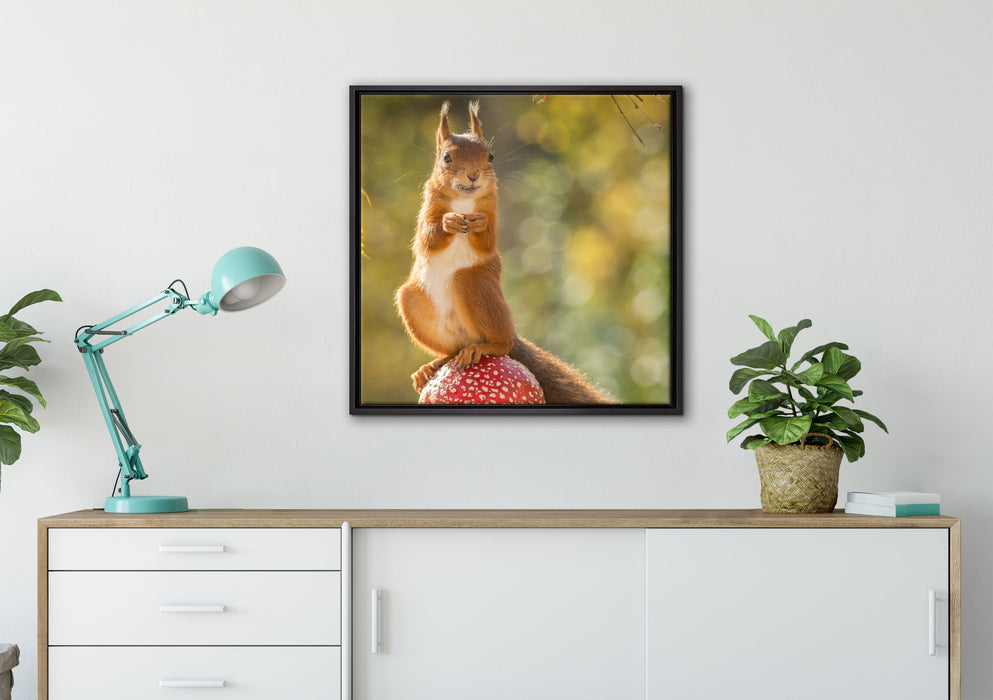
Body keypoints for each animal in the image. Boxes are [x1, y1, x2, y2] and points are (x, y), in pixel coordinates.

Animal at [395, 101, 612, 405]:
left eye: (490, 155)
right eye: (446, 158)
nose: (473, 174)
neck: (464, 201)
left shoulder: (493, 208)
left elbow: (487, 241)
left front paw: (479, 225)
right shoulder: (428, 208)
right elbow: (426, 239)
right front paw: (449, 222)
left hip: (475, 284)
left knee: (501, 342)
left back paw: (485, 347)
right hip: (412, 302)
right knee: (452, 350)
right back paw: (433, 366)